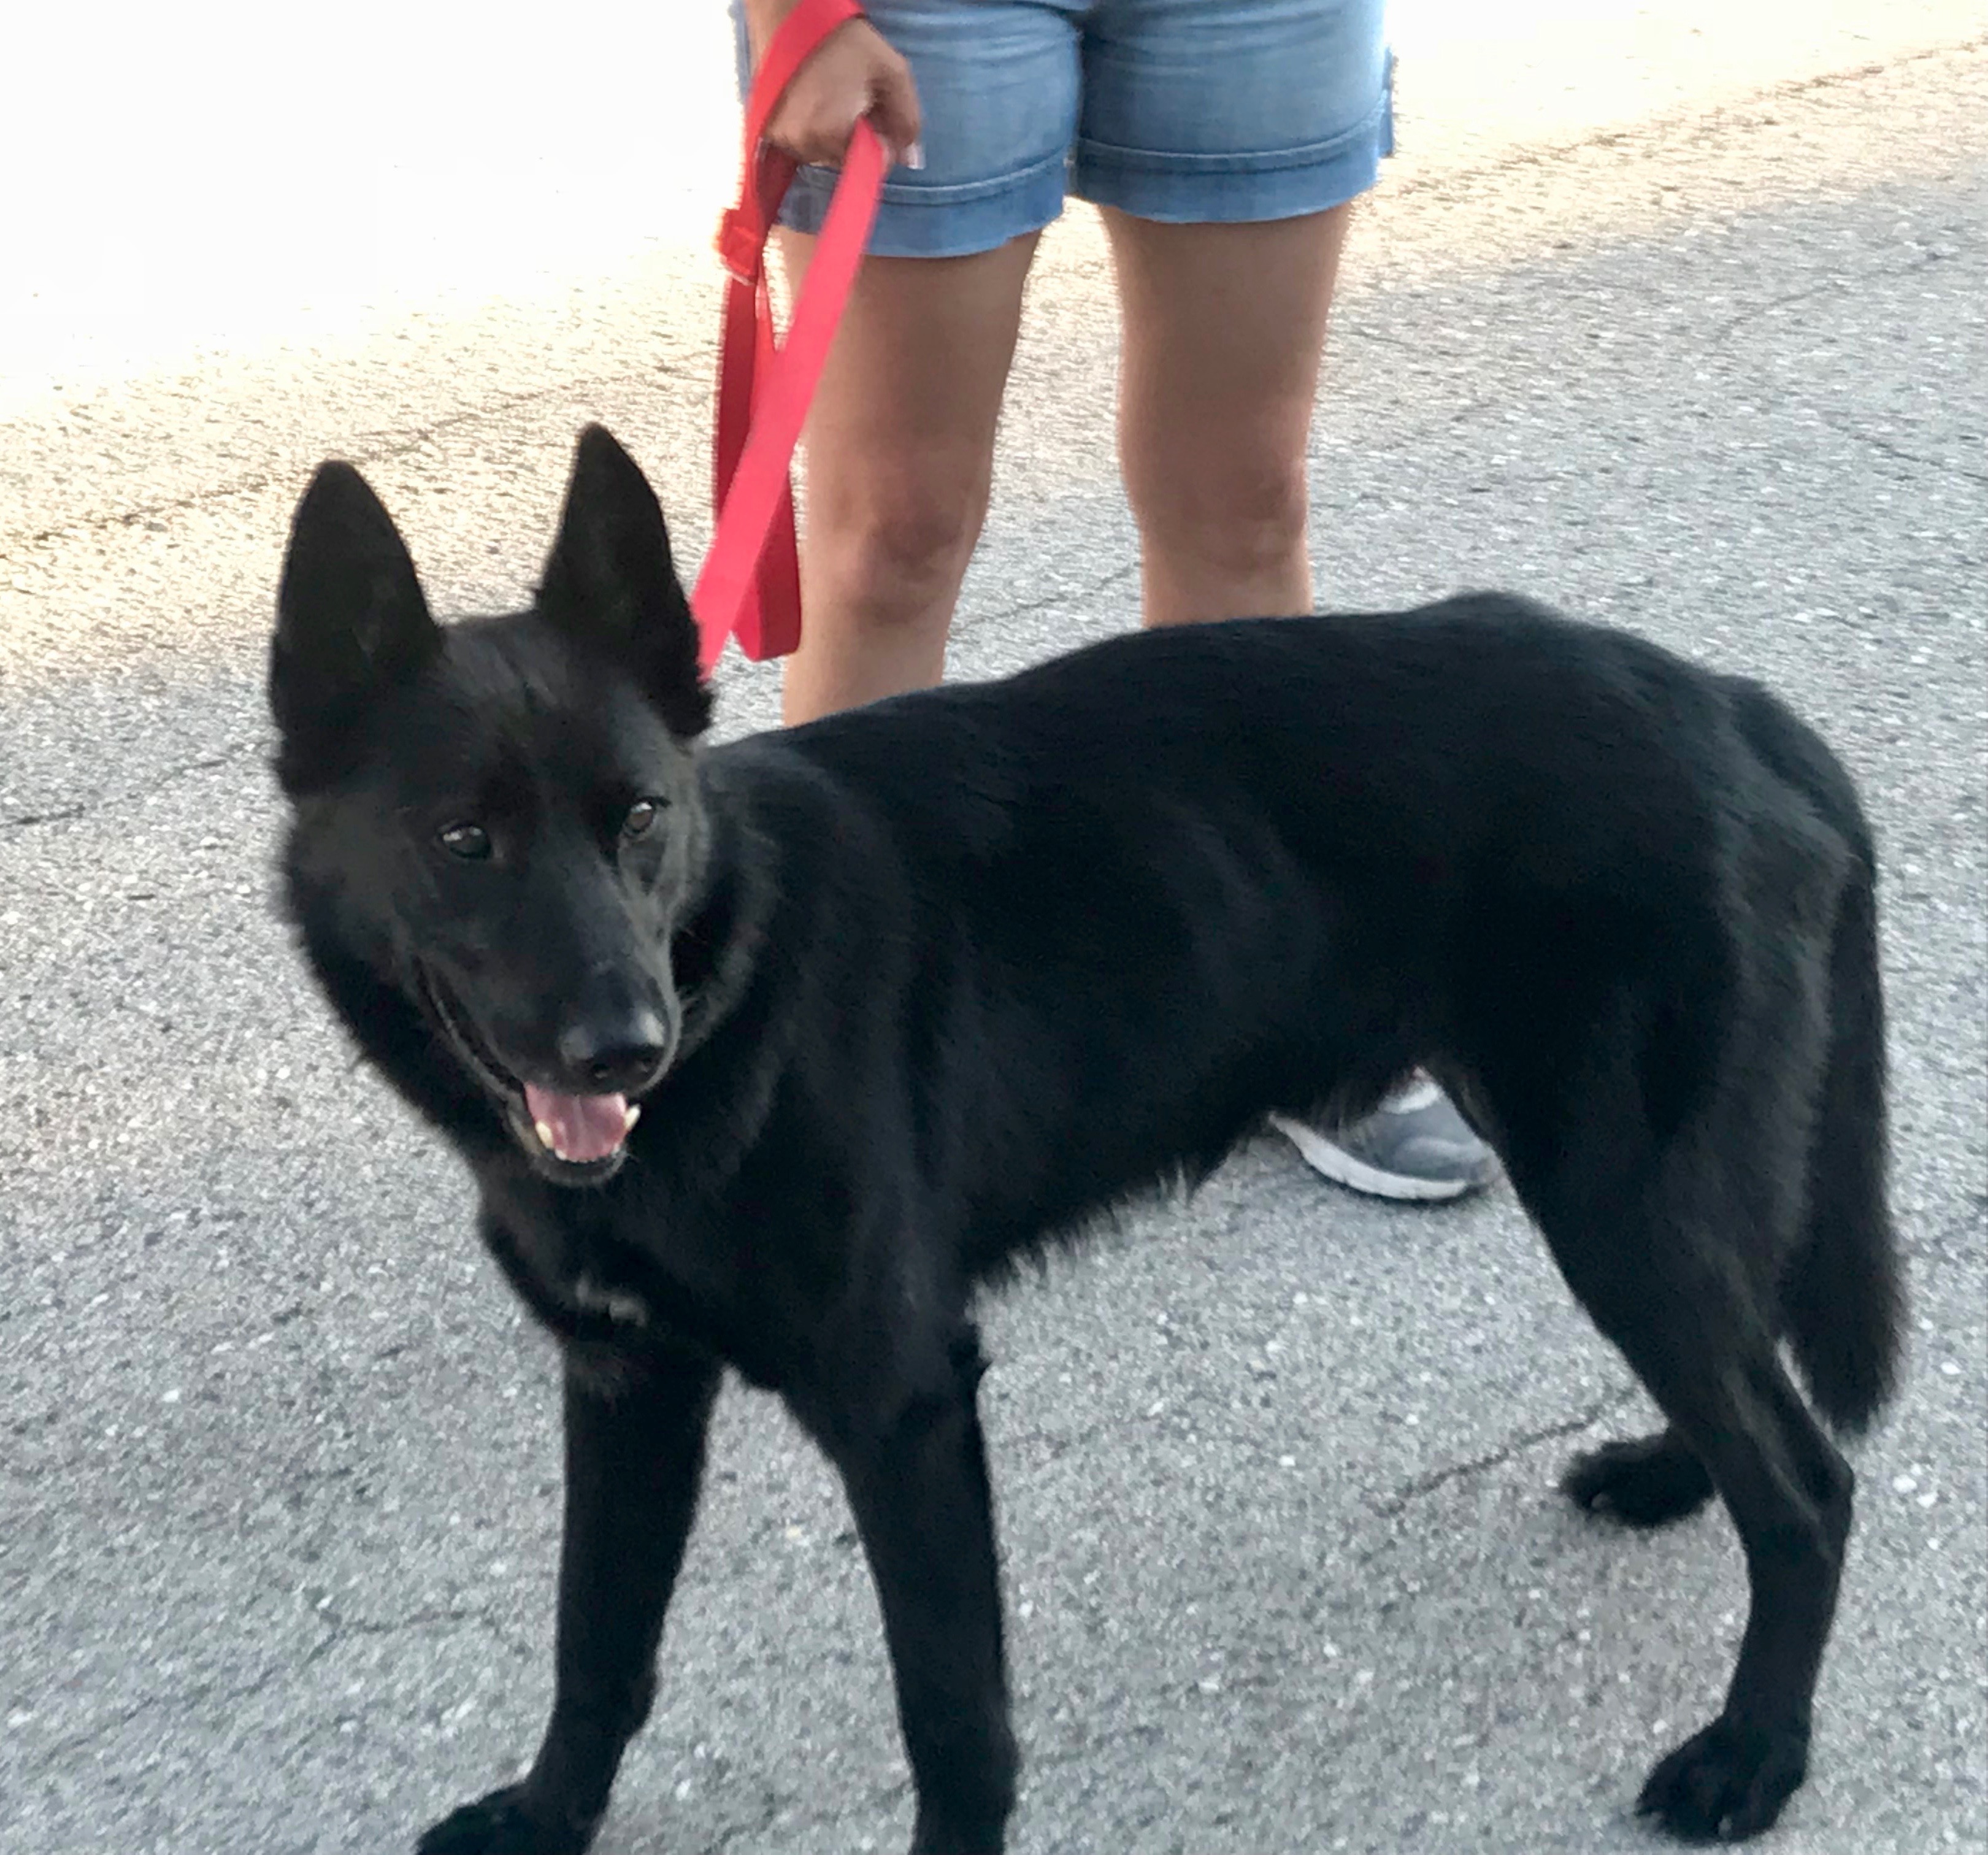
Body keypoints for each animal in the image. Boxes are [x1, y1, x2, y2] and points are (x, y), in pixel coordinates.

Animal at [269, 425, 1903, 1853]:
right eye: (464, 840)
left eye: (642, 818)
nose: (629, 1047)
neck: (734, 968)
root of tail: (1736, 704)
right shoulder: (625, 1385)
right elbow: (592, 1642)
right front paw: (550, 1816)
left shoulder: (906, 1405)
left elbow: (952, 1719)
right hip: (1641, 1201)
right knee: (1753, 1396)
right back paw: (1671, 1477)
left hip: (1619, 1199)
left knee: (1809, 1488)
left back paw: (1754, 1756)